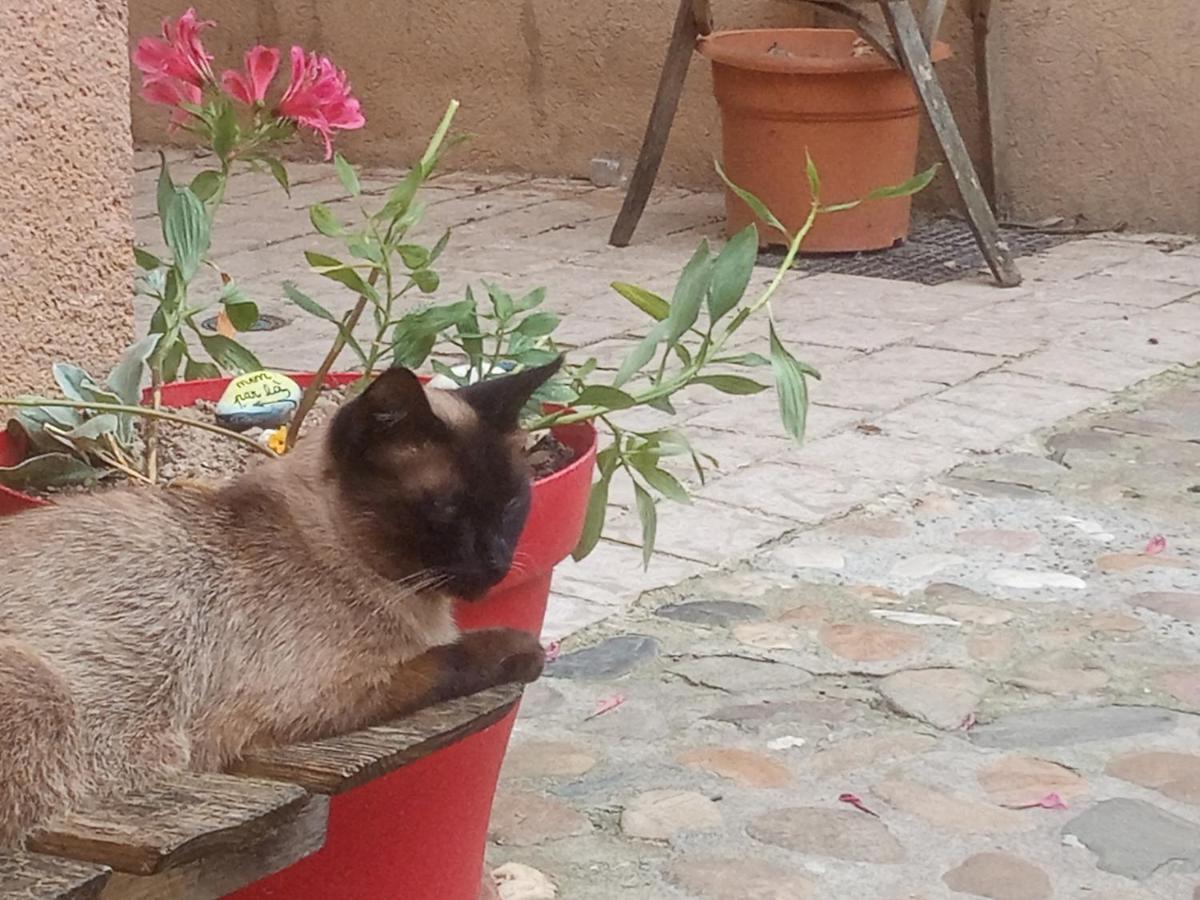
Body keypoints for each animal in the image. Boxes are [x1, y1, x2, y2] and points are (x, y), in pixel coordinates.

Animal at [0, 362, 556, 844]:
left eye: (512, 503)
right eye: (447, 509)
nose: (496, 562)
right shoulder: (330, 695)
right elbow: (454, 659)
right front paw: (526, 651)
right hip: (42, 691)